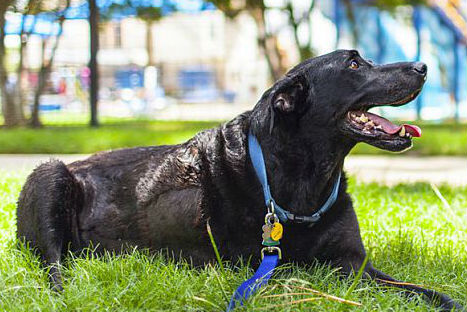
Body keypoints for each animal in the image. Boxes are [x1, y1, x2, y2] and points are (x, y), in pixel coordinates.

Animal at [17, 50, 464, 310]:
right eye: (355, 65)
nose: (423, 66)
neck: (301, 179)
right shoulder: (291, 269)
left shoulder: (356, 262)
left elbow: (423, 290)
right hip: (50, 175)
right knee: (53, 266)